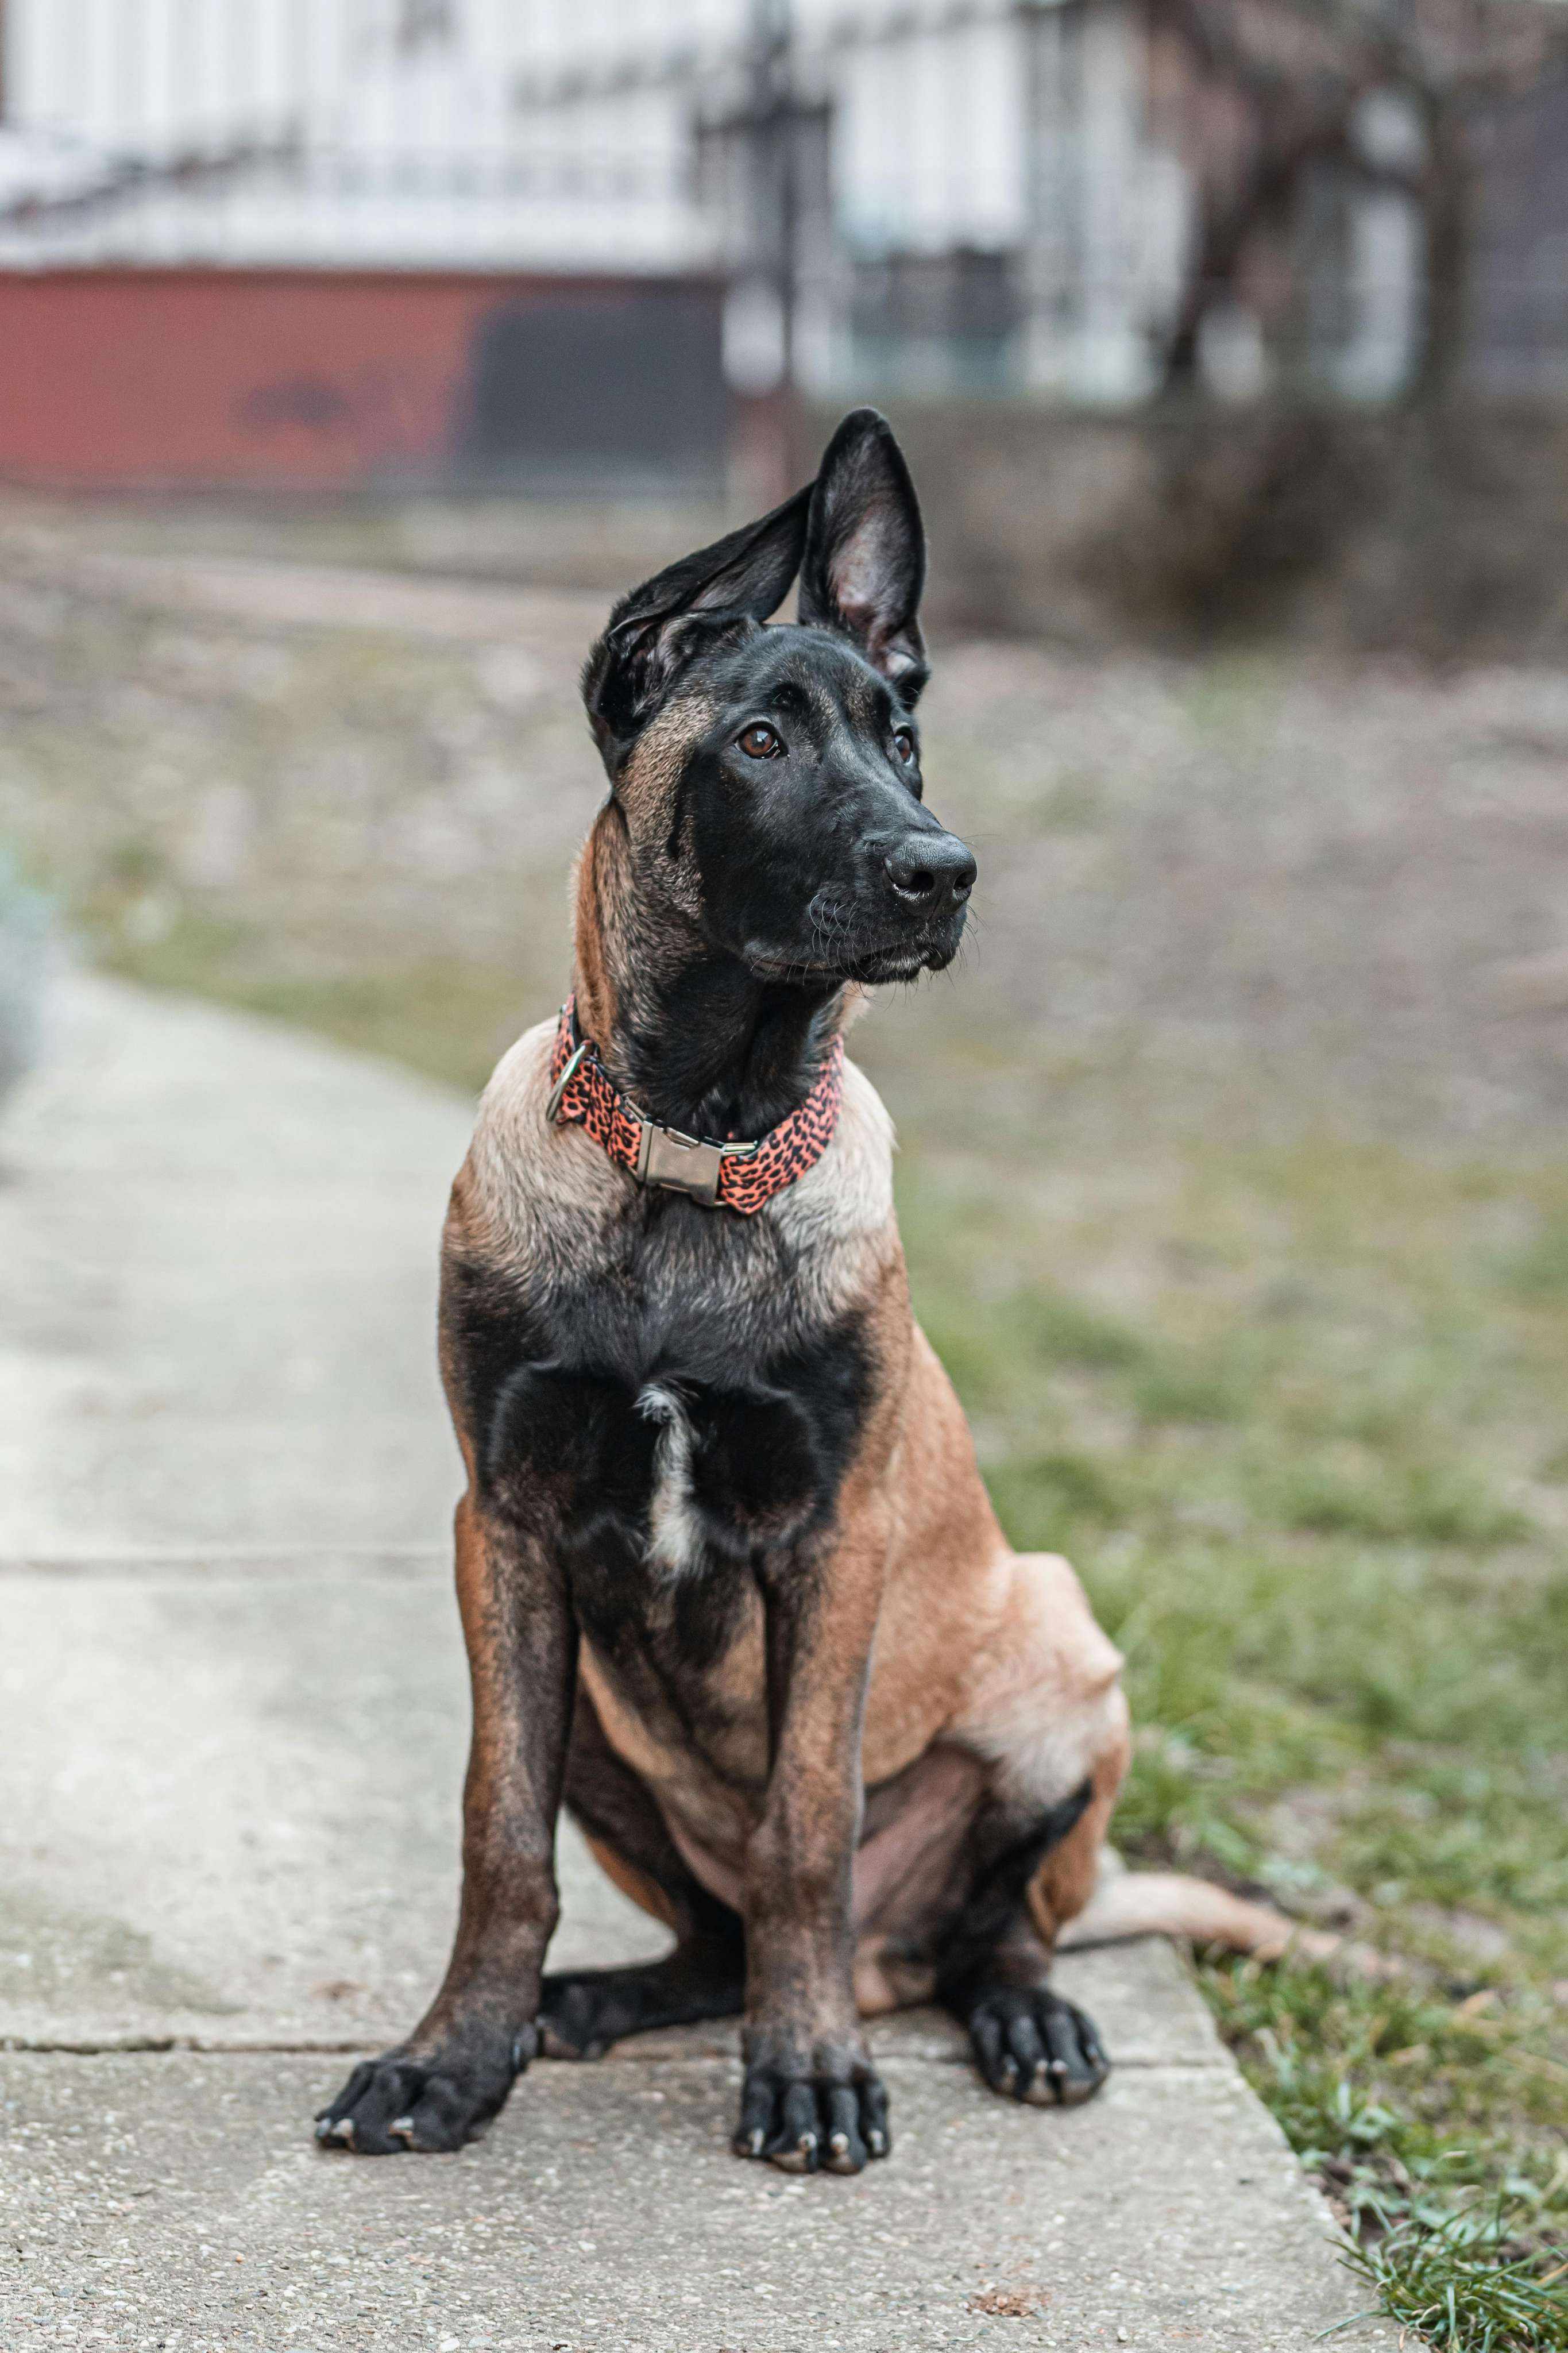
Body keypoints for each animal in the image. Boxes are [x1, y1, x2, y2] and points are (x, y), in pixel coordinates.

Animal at [312, 414, 1297, 2174]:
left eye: (902, 738)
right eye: (761, 742)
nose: (942, 870)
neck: (695, 1157)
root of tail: (903, 1961)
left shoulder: (836, 1541)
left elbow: (805, 1831)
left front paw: (812, 2070)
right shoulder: (502, 1529)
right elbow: (497, 1831)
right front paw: (456, 2059)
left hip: (1064, 1658)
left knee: (994, 1926)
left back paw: (1015, 2017)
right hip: (604, 1720)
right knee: (712, 1930)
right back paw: (603, 2001)